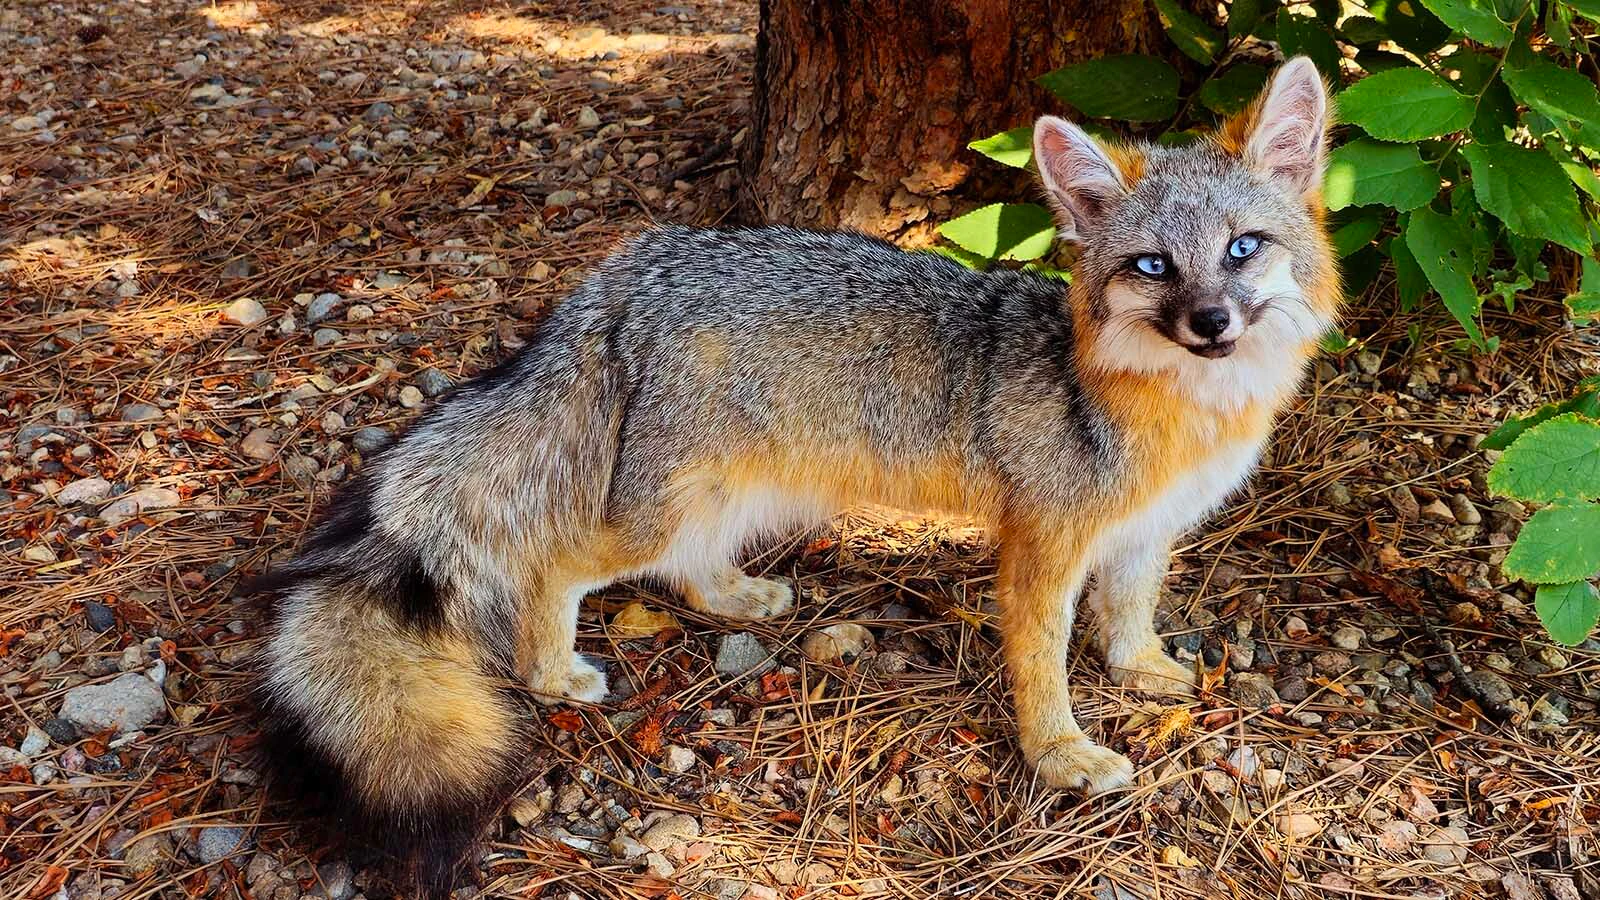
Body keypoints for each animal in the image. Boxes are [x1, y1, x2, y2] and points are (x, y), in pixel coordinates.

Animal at [248, 58, 1336, 897]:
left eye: (1243, 249)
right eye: (1153, 266)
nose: (1211, 321)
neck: (1178, 409)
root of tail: (626, 272)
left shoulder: (1145, 535)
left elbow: (1128, 612)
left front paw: (1140, 667)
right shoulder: (1041, 551)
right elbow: (1042, 665)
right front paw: (1061, 753)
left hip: (748, 492)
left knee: (687, 569)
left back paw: (736, 596)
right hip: (661, 508)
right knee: (556, 563)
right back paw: (554, 671)